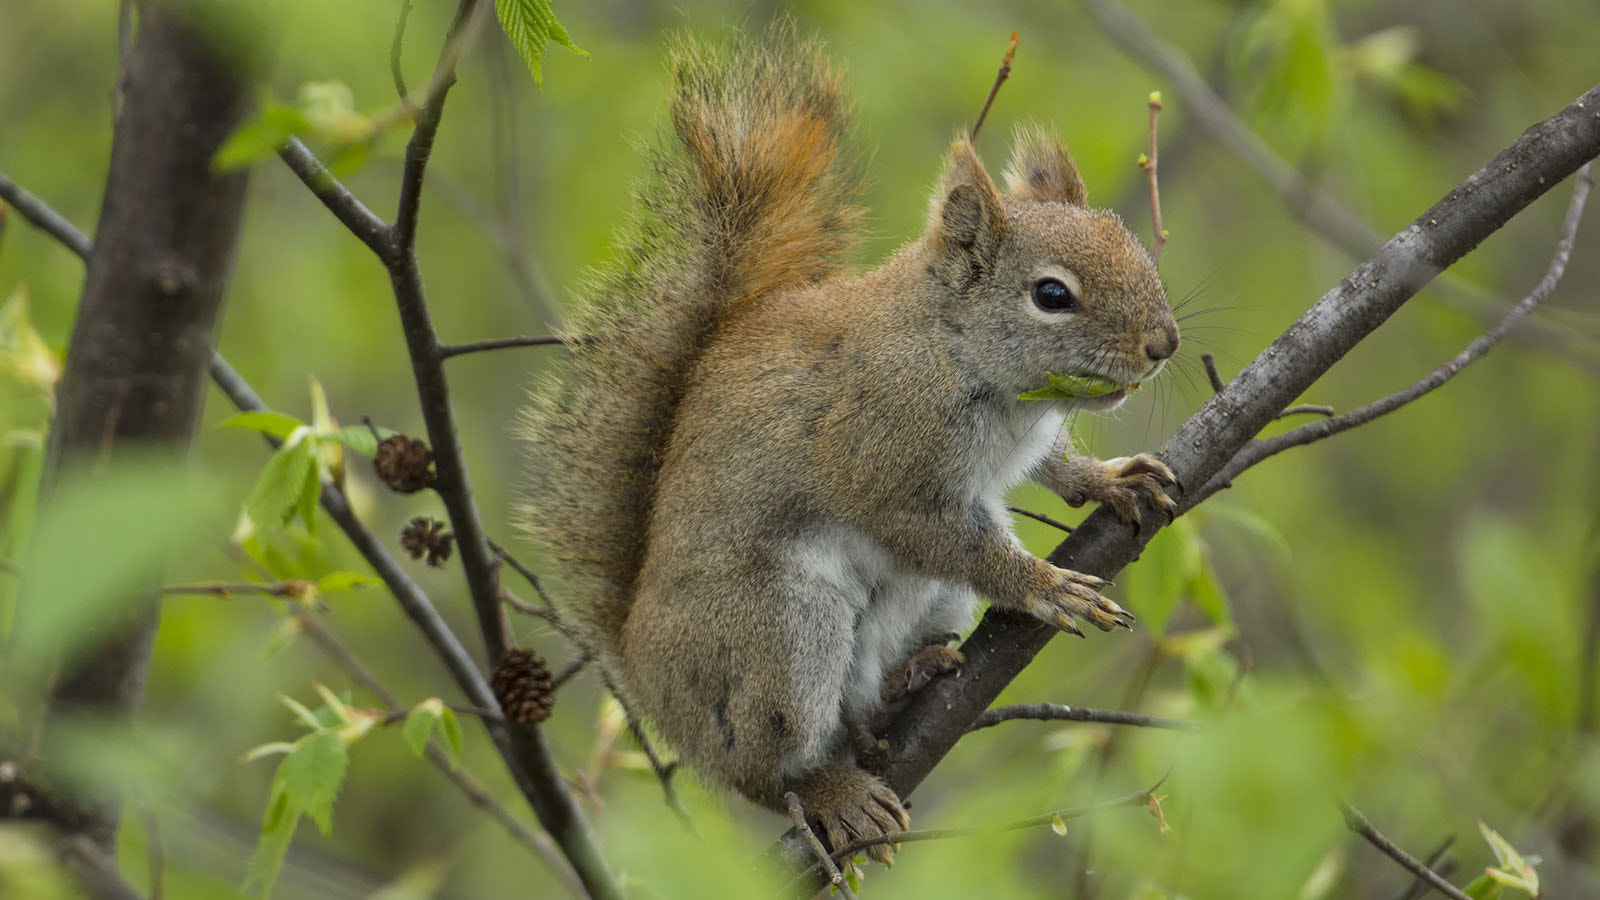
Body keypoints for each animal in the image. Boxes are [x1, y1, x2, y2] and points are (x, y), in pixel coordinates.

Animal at [517, 25, 1179, 863]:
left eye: (1133, 245)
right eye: (1052, 295)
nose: (1164, 344)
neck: (963, 360)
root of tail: (642, 672)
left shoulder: (1027, 440)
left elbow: (1056, 467)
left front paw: (1111, 478)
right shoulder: (886, 464)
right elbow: (951, 540)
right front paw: (1044, 584)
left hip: (920, 605)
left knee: (867, 697)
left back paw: (907, 683)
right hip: (779, 633)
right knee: (765, 770)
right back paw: (831, 791)